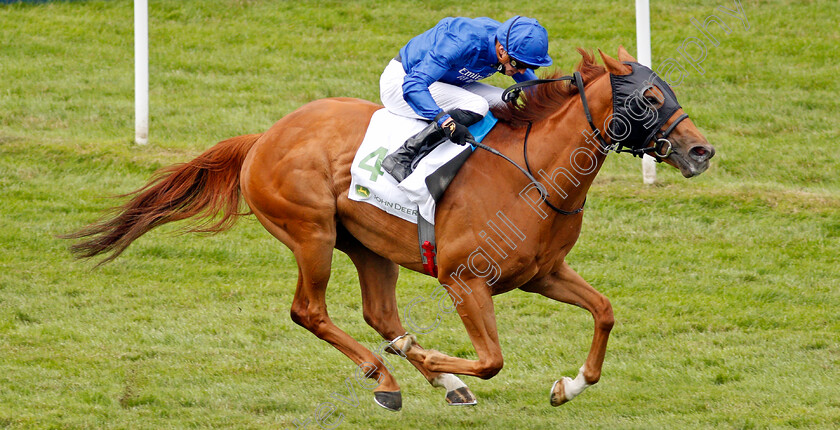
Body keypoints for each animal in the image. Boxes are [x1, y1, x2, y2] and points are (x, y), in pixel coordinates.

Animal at [65, 48, 716, 412]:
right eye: (649, 97)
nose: (701, 151)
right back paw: (389, 375)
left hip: (368, 245)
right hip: (312, 234)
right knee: (310, 311)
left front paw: (568, 386)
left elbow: (604, 312)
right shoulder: (464, 281)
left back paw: (436, 377)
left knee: (380, 313)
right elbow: (493, 358)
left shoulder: (542, 273)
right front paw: (427, 356)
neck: (535, 175)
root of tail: (264, 137)